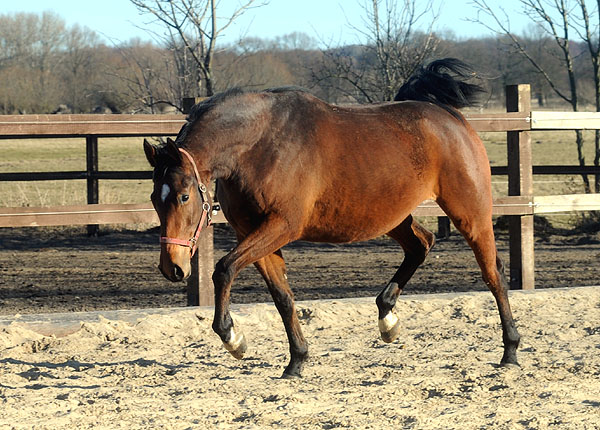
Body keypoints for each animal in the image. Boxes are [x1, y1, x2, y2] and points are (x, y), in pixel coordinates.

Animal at [144, 58, 520, 378]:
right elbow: (282, 296)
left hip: (470, 213)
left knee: (493, 274)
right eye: (153, 199)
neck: (258, 146)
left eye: (184, 196)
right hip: (389, 216)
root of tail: (449, 116)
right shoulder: (252, 233)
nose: (172, 267)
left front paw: (233, 339)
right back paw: (387, 318)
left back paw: (510, 352)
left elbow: (223, 269)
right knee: (421, 244)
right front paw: (296, 361)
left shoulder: (281, 226)